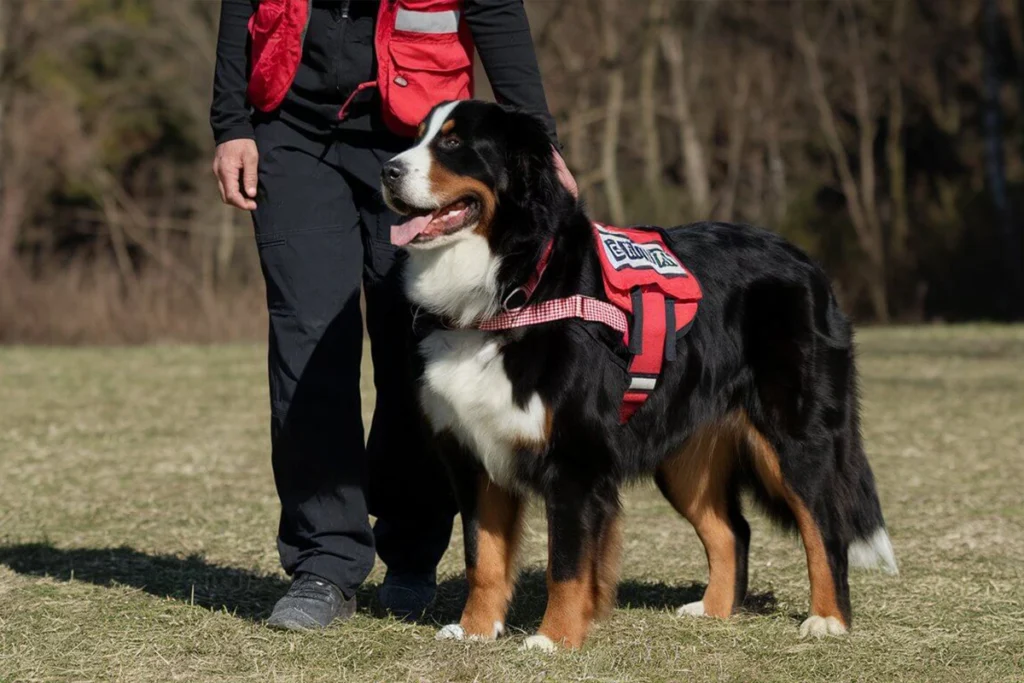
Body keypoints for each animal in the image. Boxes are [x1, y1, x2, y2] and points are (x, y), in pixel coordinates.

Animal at [378, 100, 897, 651]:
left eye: (454, 143)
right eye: (416, 137)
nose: (387, 170)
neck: (516, 287)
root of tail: (806, 261)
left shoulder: (576, 461)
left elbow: (566, 565)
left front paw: (554, 639)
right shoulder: (474, 456)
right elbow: (484, 558)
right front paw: (476, 631)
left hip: (796, 438)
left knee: (825, 525)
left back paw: (828, 619)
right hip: (684, 455)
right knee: (732, 530)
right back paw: (713, 611)